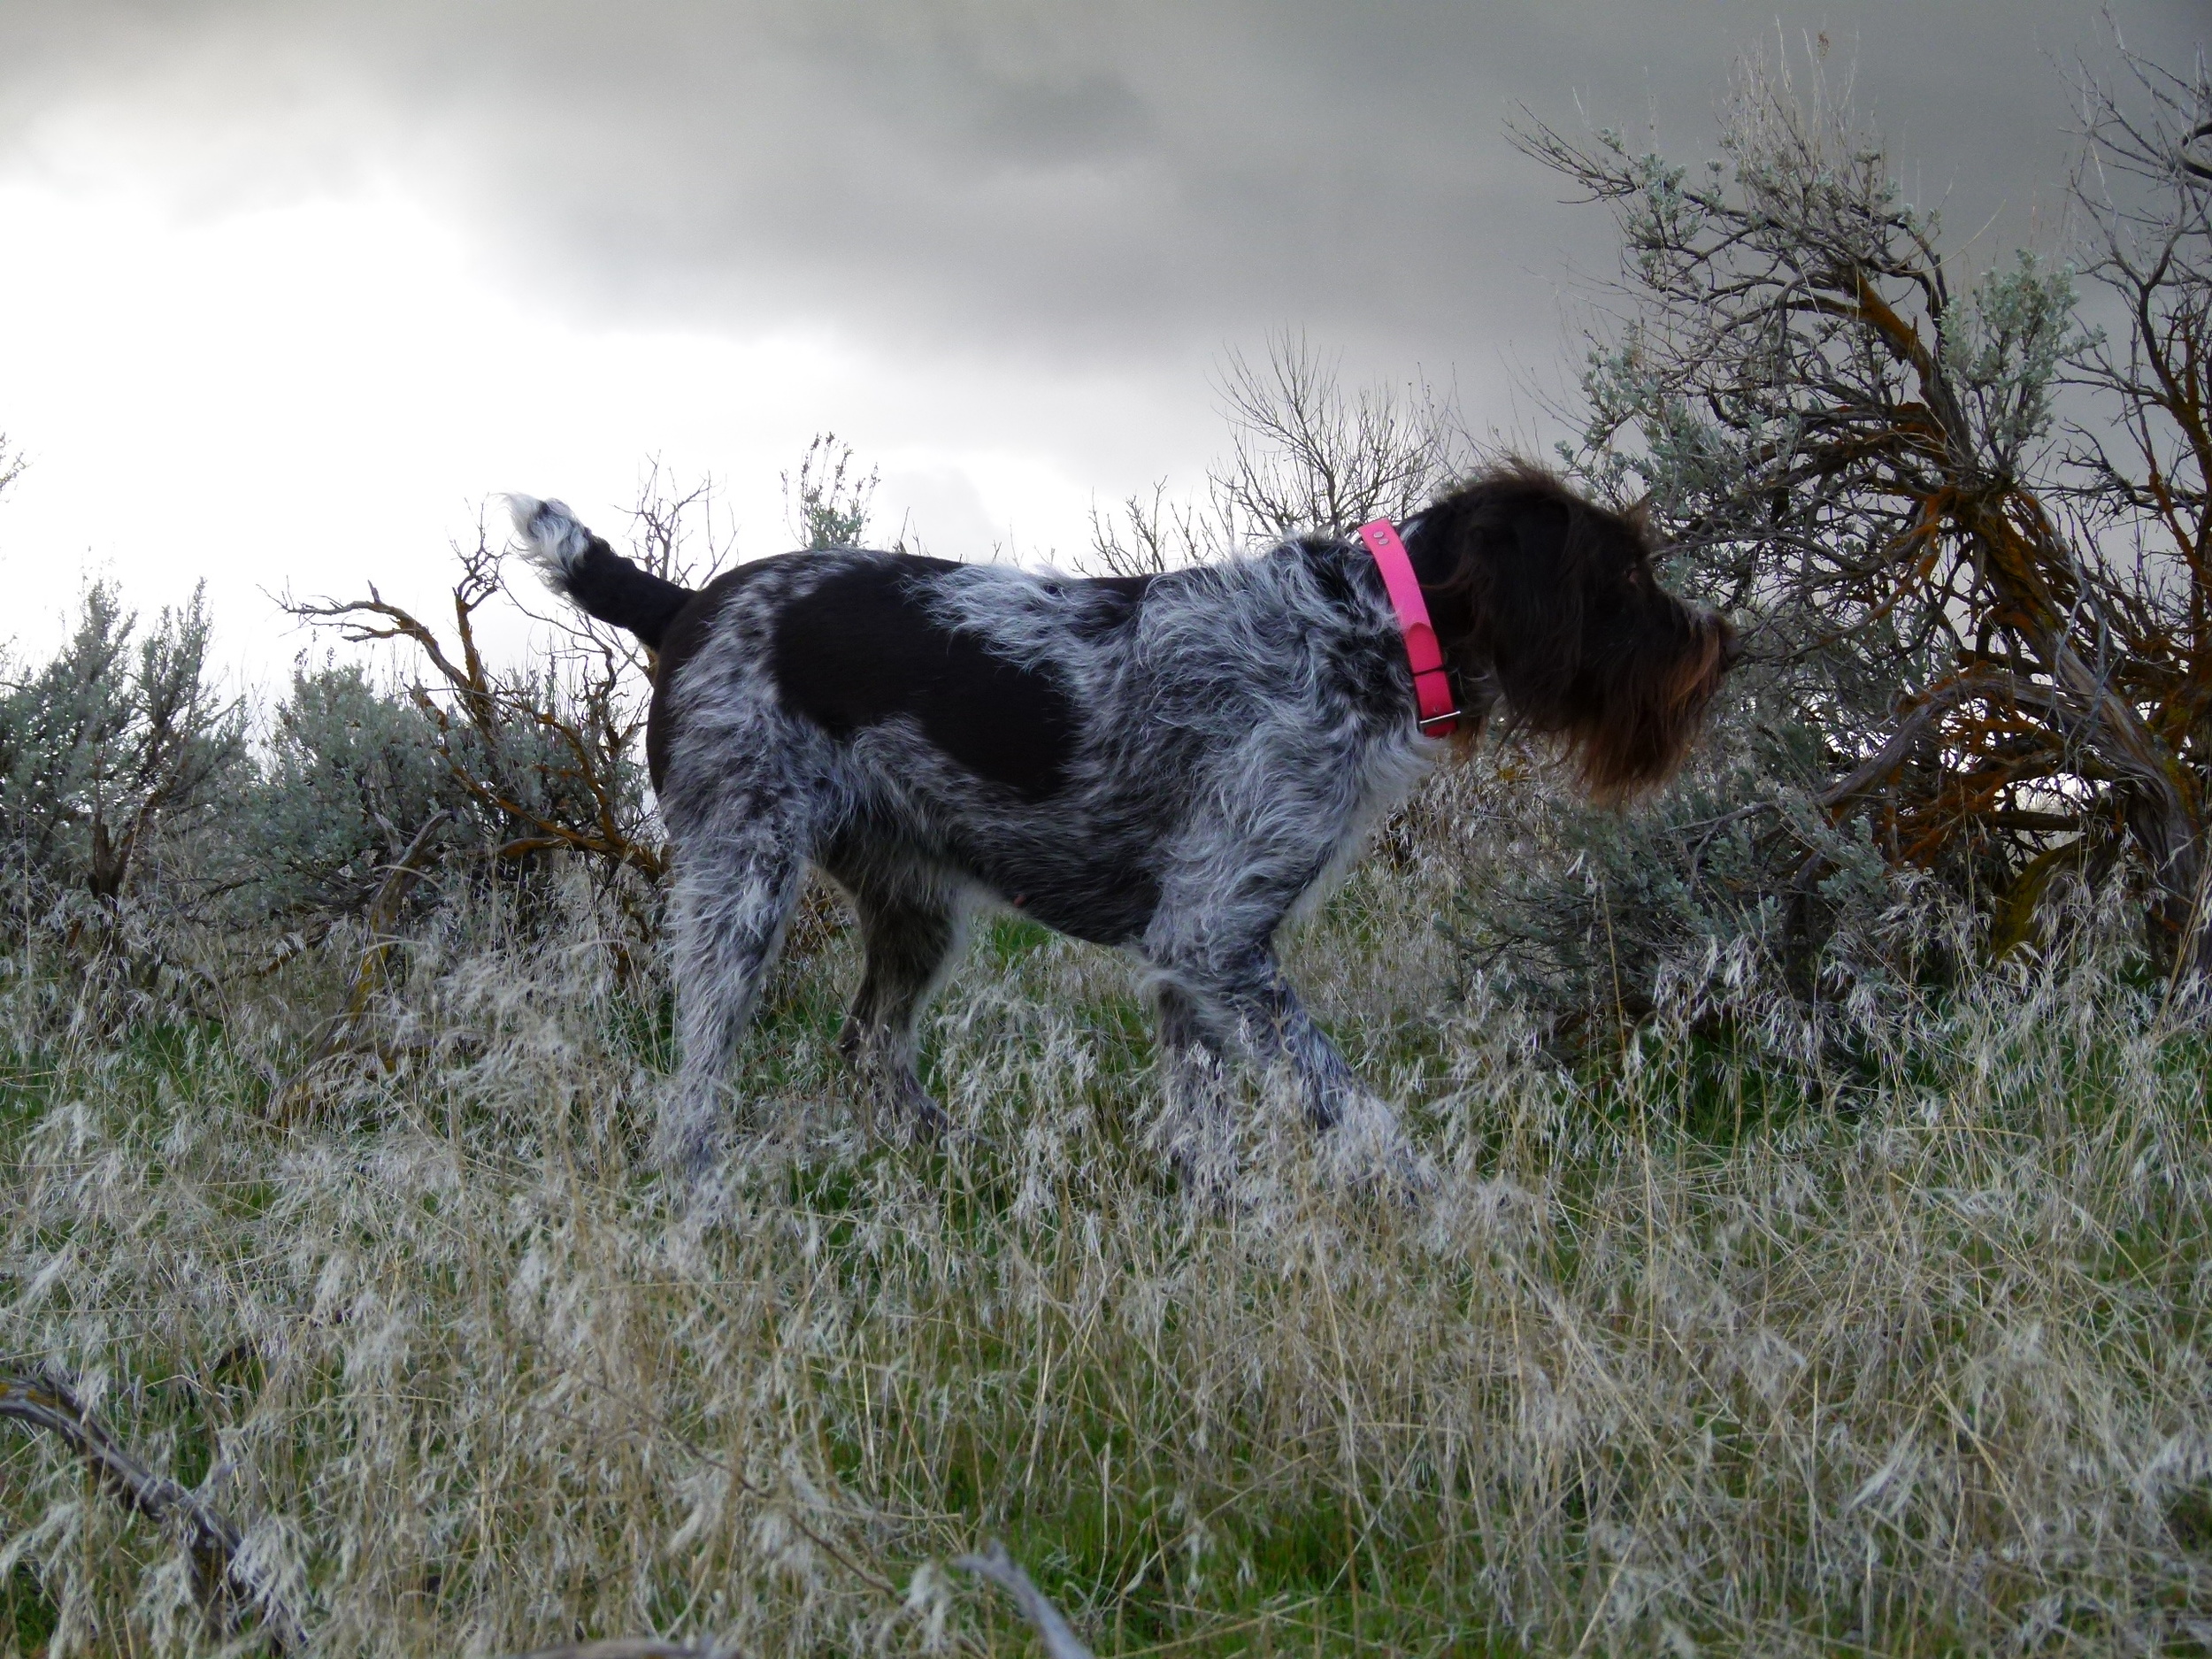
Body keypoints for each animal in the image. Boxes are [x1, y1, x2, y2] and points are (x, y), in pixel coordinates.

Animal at [509, 469, 1734, 1186]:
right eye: (1625, 574)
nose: (1723, 648)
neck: (1362, 628)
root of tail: (686, 603)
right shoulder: (1213, 938)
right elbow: (1351, 1108)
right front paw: (1451, 1210)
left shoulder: (1199, 964)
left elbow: (1209, 1124)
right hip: (743, 884)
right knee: (698, 1080)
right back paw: (700, 1197)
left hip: (914, 908)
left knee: (867, 1045)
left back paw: (961, 1161)